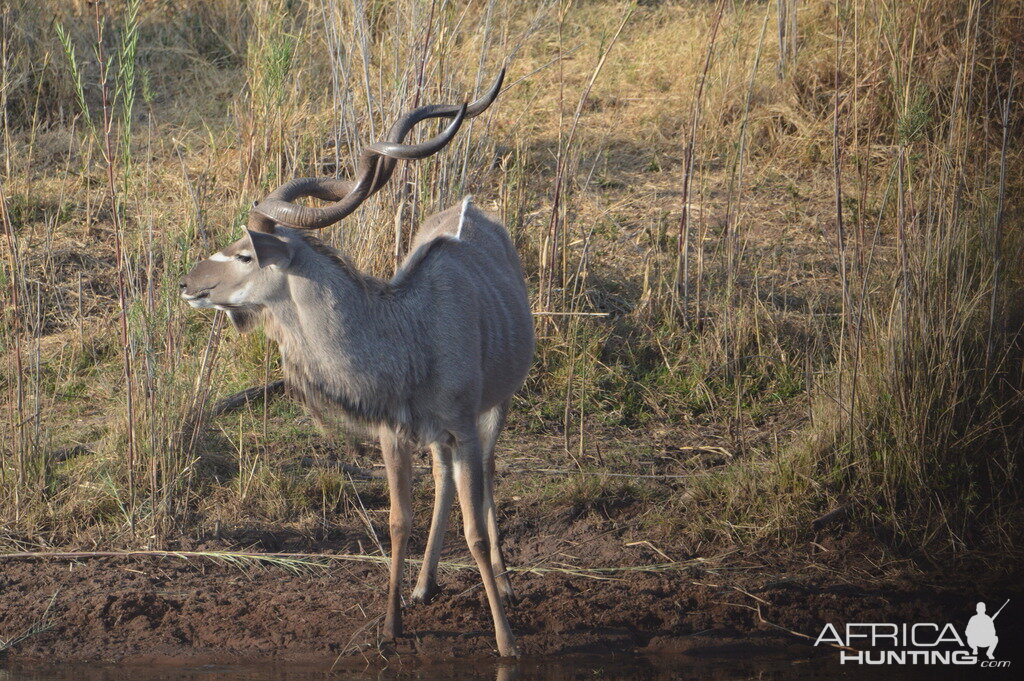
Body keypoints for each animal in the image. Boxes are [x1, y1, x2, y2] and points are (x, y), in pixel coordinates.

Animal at [182, 71, 536, 655]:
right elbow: (398, 520)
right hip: (438, 438)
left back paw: (505, 585)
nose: (188, 284)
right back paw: (424, 585)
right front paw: (392, 625)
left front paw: (507, 642)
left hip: (497, 405)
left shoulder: (463, 423)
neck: (411, 333)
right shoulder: (396, 433)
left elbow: (473, 531)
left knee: (486, 472)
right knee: (443, 480)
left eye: (245, 253)